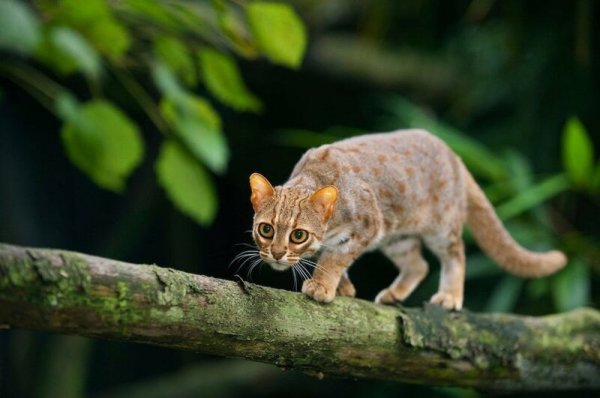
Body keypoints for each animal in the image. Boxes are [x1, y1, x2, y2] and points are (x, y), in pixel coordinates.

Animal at [246, 129, 564, 310]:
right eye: (266, 229)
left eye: (298, 235)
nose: (276, 253)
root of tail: (453, 154)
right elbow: (330, 255)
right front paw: (342, 287)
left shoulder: (368, 226)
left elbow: (334, 258)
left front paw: (322, 285)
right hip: (397, 237)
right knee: (419, 264)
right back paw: (395, 293)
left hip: (440, 228)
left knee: (456, 255)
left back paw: (450, 296)